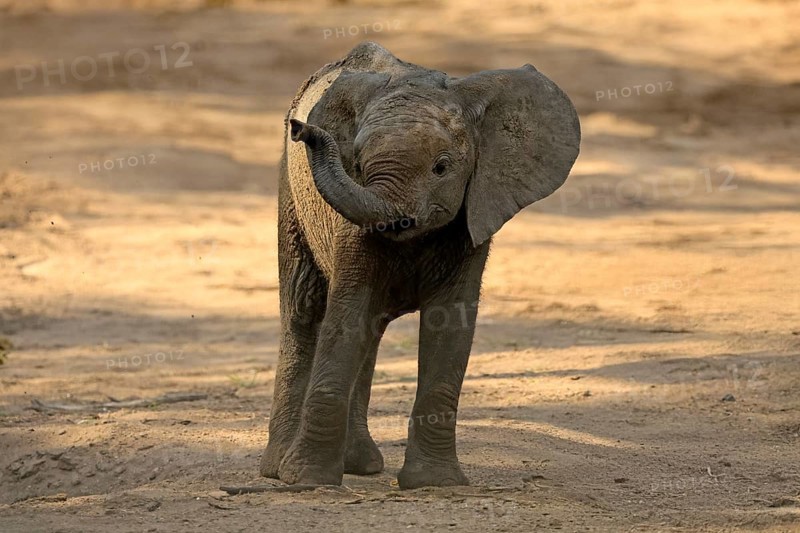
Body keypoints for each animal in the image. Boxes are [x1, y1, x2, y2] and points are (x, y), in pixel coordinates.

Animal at [260, 42, 580, 489]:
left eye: (441, 167)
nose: (299, 129)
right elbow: (347, 314)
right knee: (303, 311)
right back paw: (278, 469)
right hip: (290, 198)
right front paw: (308, 480)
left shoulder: (474, 215)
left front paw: (436, 483)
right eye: (357, 163)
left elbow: (450, 324)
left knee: (371, 330)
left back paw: (360, 465)